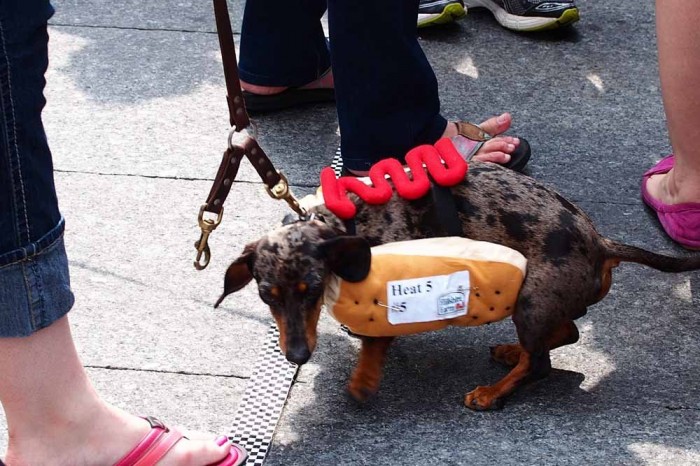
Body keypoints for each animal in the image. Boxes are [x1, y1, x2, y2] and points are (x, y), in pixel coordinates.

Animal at [215, 162, 700, 410]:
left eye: (312, 290)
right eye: (266, 295)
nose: (297, 356)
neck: (346, 220)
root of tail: (600, 242)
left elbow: (376, 342)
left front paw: (364, 381)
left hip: (531, 300)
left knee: (542, 363)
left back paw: (492, 393)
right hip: (539, 304)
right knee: (565, 332)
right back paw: (511, 352)